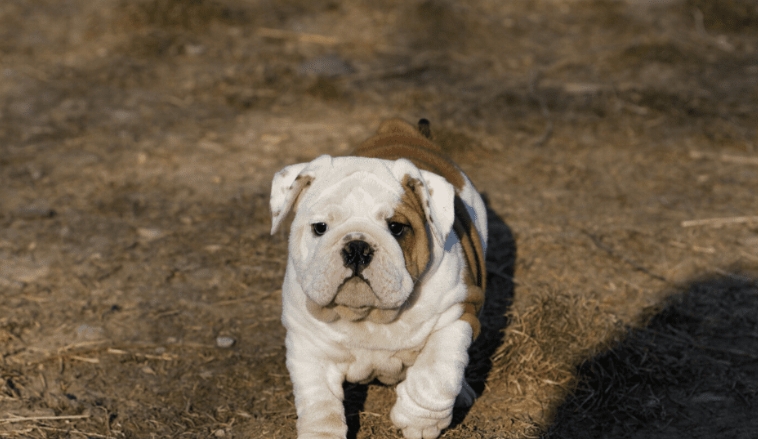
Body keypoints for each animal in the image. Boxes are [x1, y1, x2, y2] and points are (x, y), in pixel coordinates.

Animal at [270, 118, 490, 439]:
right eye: (320, 227)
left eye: (396, 227)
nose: (357, 248)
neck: (368, 316)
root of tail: (398, 127)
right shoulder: (308, 342)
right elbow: (319, 400)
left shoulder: (456, 314)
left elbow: (436, 375)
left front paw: (418, 421)